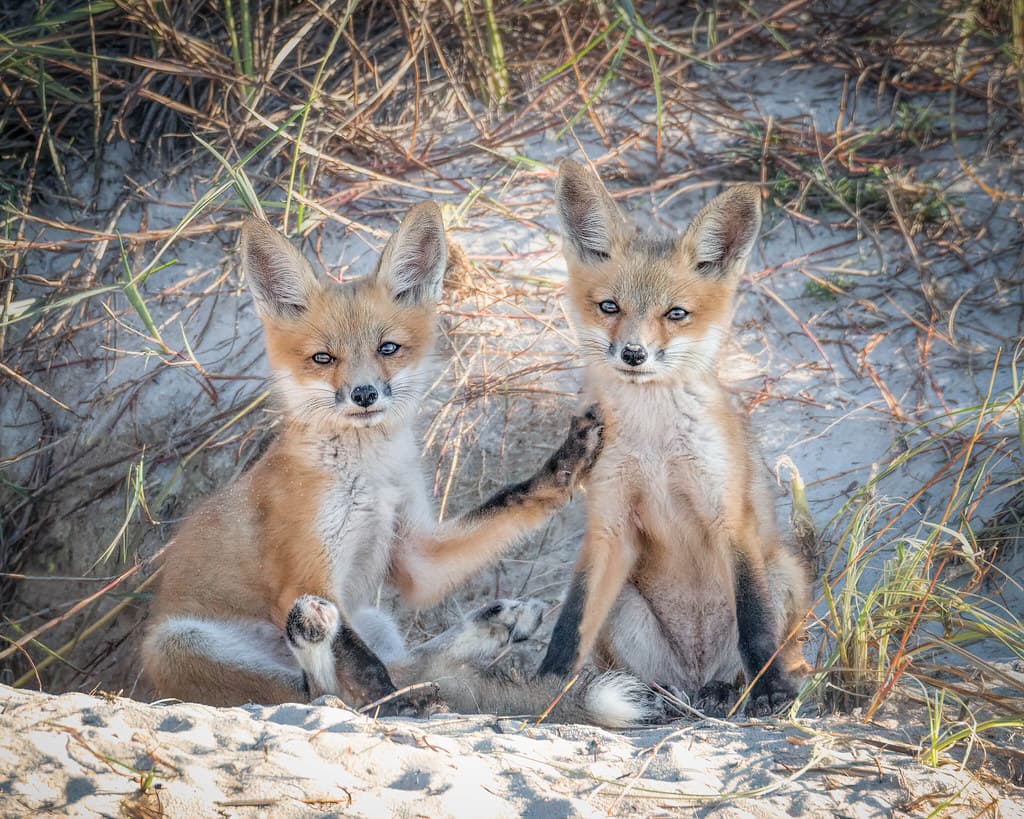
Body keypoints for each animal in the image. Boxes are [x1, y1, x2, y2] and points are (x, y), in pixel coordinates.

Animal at [141, 202, 665, 727]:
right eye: (323, 358)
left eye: (387, 348)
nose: (364, 394)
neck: (371, 479)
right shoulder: (304, 573)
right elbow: (364, 667)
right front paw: (395, 702)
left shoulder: (415, 554)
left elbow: (508, 502)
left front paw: (568, 462)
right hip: (182, 643)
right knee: (319, 691)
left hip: (373, 617)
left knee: (404, 665)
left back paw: (490, 629)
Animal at [534, 160, 810, 716]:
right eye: (609, 306)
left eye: (676, 314)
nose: (634, 354)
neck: (655, 444)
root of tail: (695, 671)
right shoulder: (609, 523)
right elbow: (570, 624)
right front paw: (546, 686)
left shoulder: (729, 517)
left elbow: (754, 625)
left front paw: (770, 689)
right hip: (625, 604)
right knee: (651, 679)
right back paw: (662, 697)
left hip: (783, 572)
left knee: (762, 651)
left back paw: (742, 687)